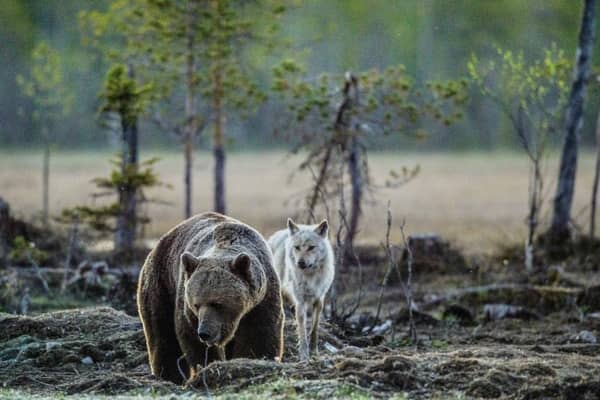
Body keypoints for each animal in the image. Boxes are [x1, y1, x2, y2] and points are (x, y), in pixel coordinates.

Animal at [137, 211, 284, 382]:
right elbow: (192, 338)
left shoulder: (262, 299)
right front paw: (210, 366)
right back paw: (168, 376)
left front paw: (253, 360)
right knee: (162, 333)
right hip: (161, 285)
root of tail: (156, 246)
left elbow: (259, 335)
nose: (204, 333)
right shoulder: (186, 305)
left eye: (218, 303)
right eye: (196, 304)